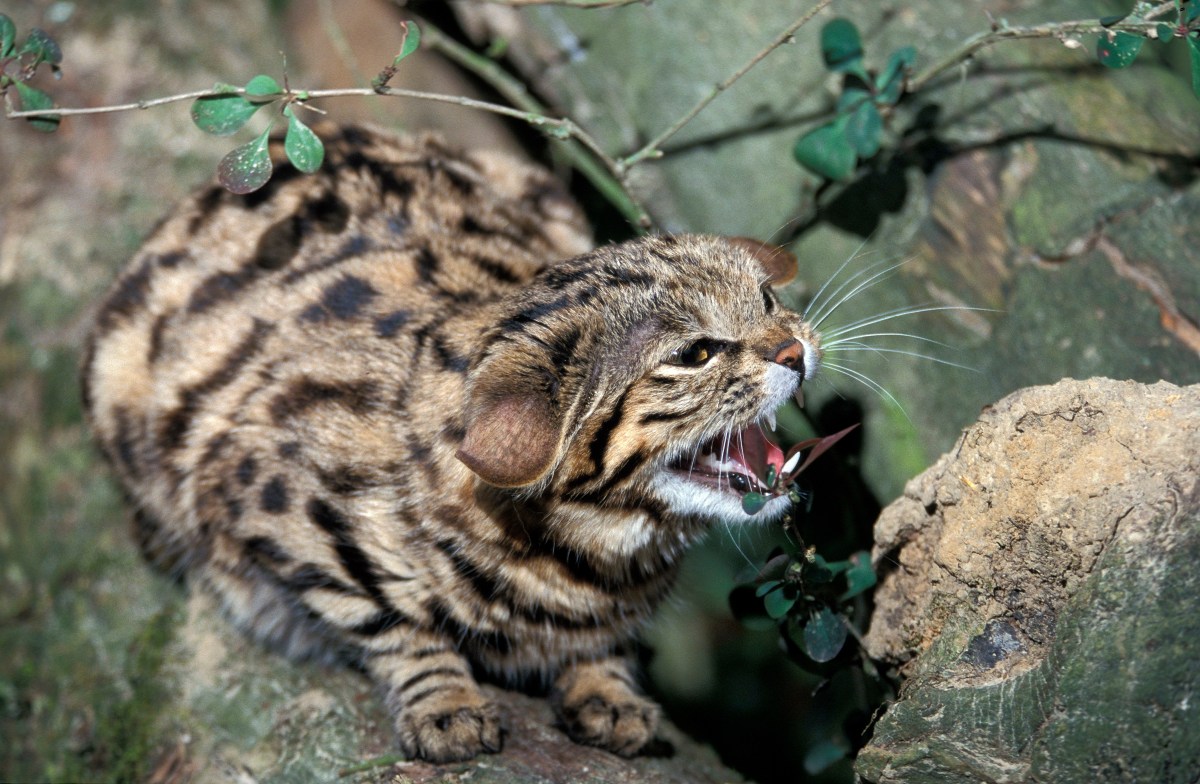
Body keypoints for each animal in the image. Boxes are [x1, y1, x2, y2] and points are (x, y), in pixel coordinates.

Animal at [79, 125, 820, 763]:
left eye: (766, 298)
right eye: (695, 354)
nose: (795, 349)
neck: (588, 560)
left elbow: (601, 650)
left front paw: (606, 683)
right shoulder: (260, 497)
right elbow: (389, 621)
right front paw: (444, 701)